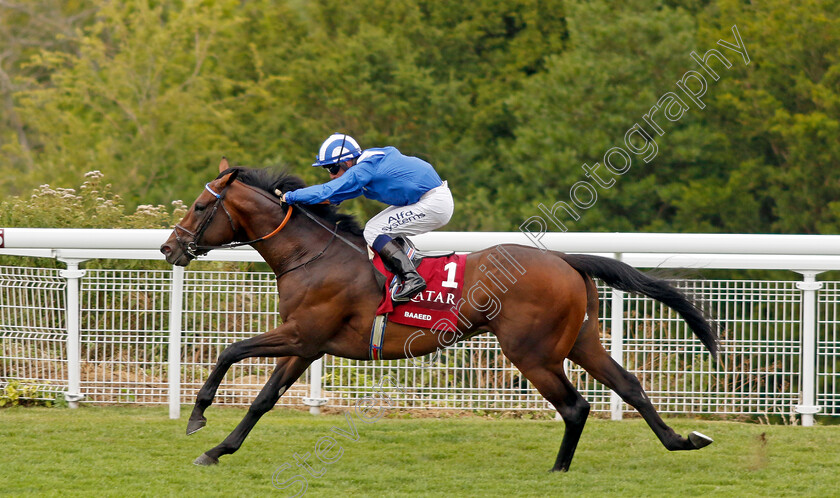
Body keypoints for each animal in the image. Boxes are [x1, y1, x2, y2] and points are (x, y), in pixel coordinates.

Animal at [161, 160, 720, 470]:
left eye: (198, 207)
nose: (169, 247)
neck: (312, 255)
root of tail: (564, 259)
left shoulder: (300, 334)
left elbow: (231, 352)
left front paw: (197, 417)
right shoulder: (308, 345)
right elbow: (263, 400)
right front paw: (217, 450)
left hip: (533, 353)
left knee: (575, 406)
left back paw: (559, 471)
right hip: (581, 342)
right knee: (629, 386)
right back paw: (682, 440)